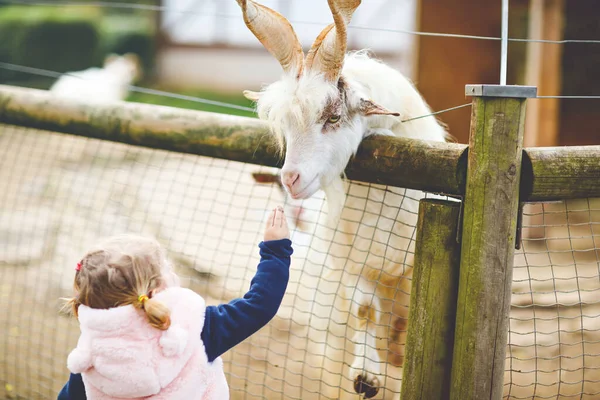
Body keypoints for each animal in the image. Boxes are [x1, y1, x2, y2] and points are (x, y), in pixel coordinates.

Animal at [236, 1, 450, 398]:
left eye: (334, 117)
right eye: (285, 126)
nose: (291, 179)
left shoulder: (411, 268)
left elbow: (405, 321)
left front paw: (391, 357)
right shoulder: (352, 263)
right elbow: (365, 310)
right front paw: (366, 375)